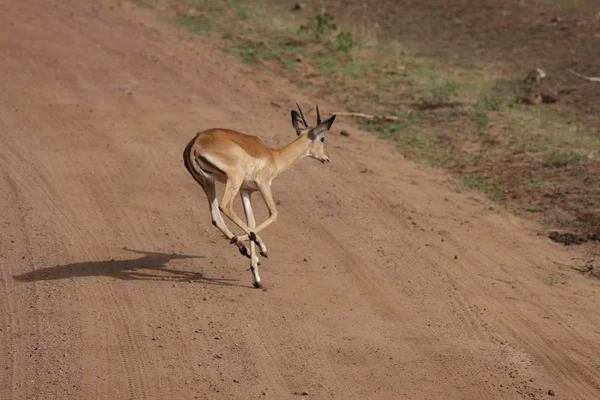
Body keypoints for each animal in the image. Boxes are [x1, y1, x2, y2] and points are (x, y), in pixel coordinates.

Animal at [183, 104, 336, 288]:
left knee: (216, 217)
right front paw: (261, 250)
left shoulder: (246, 191)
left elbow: (251, 222)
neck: (273, 156)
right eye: (322, 139)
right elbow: (273, 214)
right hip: (233, 178)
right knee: (225, 206)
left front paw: (256, 277)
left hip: (207, 182)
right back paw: (251, 247)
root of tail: (196, 143)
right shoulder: (263, 185)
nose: (327, 158)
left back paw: (246, 251)